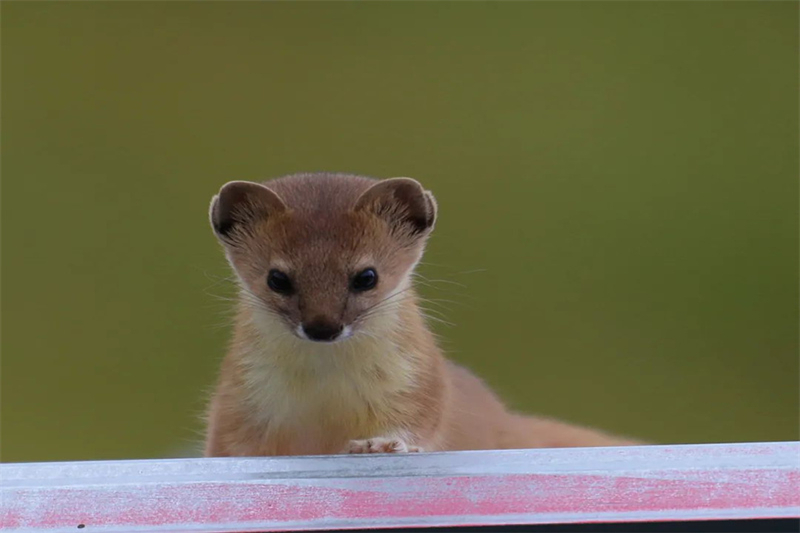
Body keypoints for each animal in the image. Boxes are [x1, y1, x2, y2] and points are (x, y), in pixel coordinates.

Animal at [205, 172, 636, 456]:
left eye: (367, 276)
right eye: (277, 278)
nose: (322, 326)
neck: (325, 399)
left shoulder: (422, 384)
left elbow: (420, 423)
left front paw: (378, 443)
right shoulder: (233, 406)